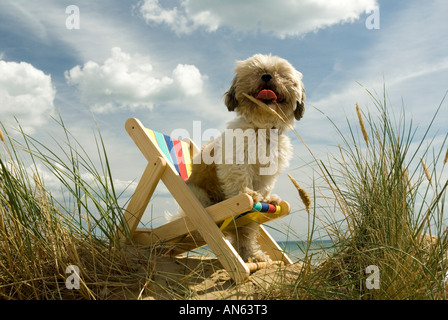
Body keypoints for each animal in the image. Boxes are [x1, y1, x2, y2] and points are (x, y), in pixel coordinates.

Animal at [185, 53, 304, 262]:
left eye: (280, 73)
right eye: (256, 72)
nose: (266, 76)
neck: (262, 129)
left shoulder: (267, 174)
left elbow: (257, 203)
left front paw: (266, 199)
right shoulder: (236, 163)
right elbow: (240, 180)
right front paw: (248, 194)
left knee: (243, 230)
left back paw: (250, 254)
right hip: (199, 198)